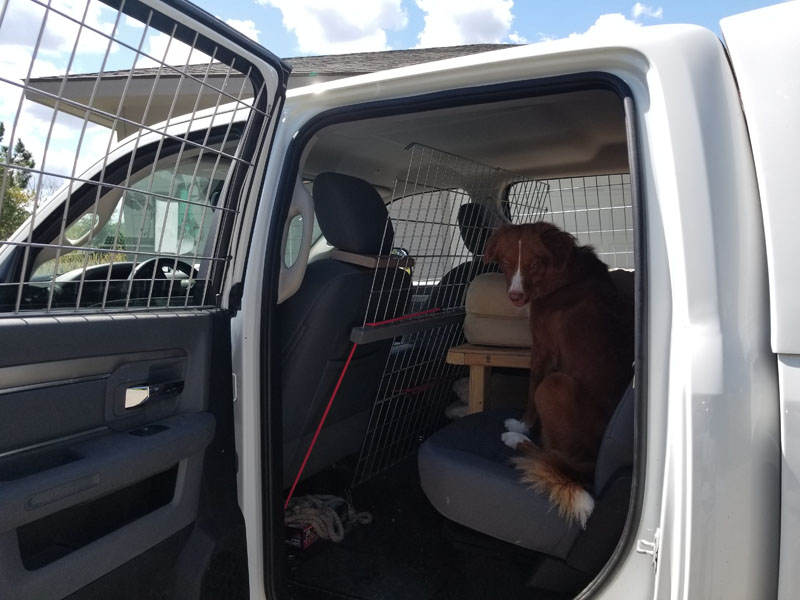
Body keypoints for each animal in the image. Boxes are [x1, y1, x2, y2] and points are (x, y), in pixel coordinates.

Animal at [482, 223, 632, 528]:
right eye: (505, 263)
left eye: (534, 264)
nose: (515, 297)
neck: (562, 276)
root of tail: (593, 466)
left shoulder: (542, 348)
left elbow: (530, 390)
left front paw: (522, 425)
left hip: (555, 385)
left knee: (551, 453)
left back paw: (515, 440)